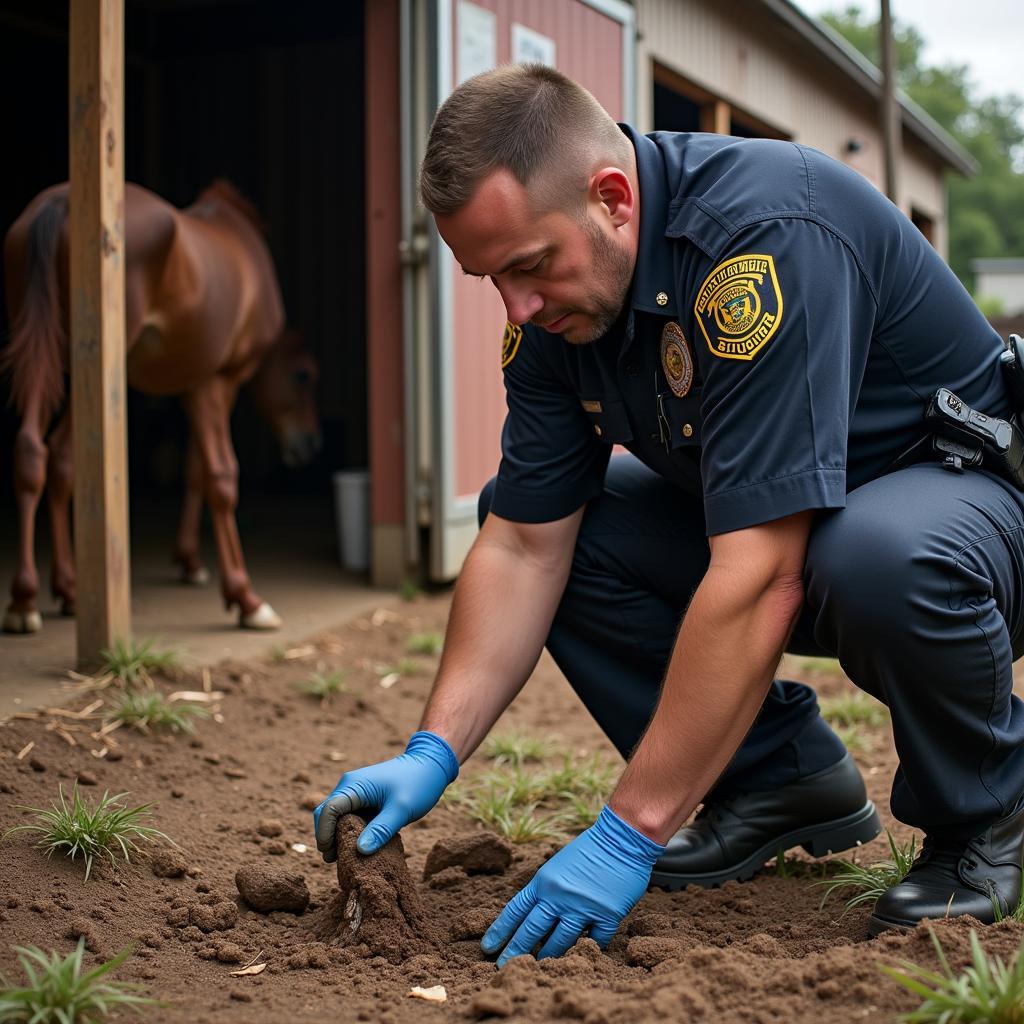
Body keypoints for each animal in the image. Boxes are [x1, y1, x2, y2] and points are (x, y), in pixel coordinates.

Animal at [1, 180, 319, 634]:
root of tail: (59, 203)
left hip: (45, 358)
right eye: (304, 375)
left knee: (37, 454)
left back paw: (40, 595)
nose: (311, 443)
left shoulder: (191, 386)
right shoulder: (216, 383)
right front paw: (245, 597)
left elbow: (195, 471)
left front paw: (189, 561)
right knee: (58, 456)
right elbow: (221, 477)